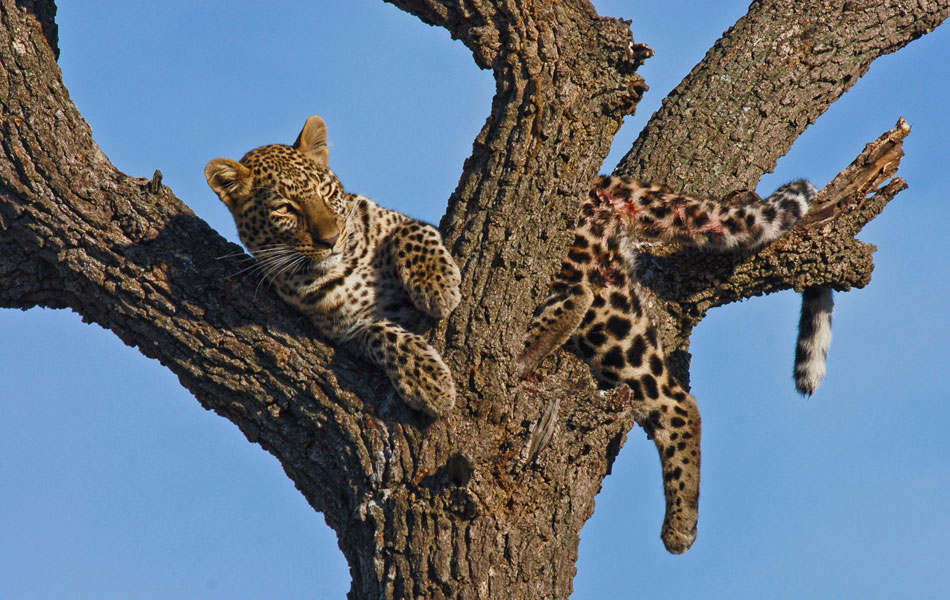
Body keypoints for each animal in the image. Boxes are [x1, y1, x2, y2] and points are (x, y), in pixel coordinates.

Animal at [205, 115, 461, 417]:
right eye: (284, 209)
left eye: (324, 190)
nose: (331, 239)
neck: (350, 263)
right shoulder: (348, 332)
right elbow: (383, 335)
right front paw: (428, 381)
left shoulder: (389, 218)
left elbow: (411, 231)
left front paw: (438, 286)